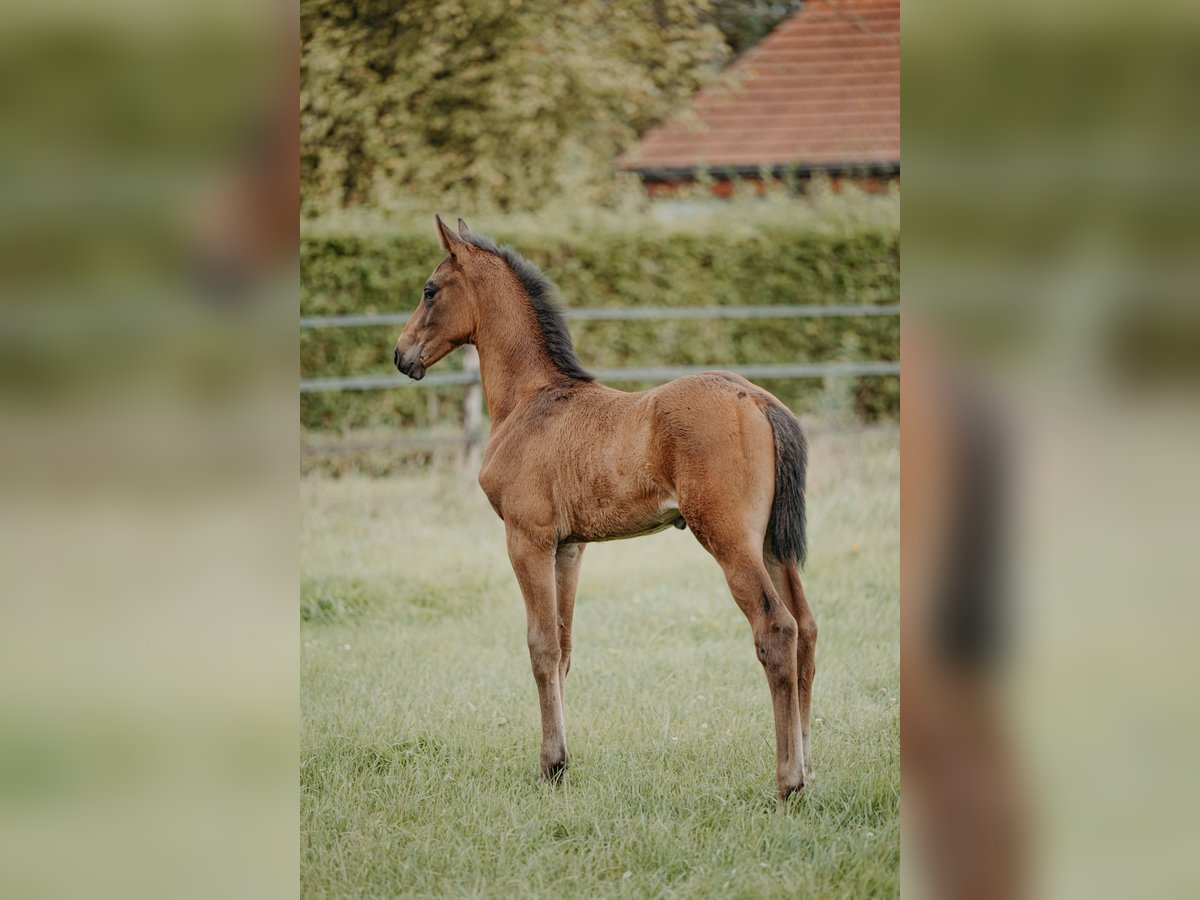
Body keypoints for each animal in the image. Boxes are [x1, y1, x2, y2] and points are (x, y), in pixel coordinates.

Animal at [393, 217, 816, 811]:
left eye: (430, 290)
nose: (401, 354)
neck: (530, 400)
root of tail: (757, 400)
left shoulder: (526, 538)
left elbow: (541, 645)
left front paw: (550, 766)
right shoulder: (570, 547)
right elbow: (565, 646)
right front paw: (564, 763)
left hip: (730, 541)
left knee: (777, 630)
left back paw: (788, 782)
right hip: (774, 545)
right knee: (808, 628)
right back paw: (810, 766)